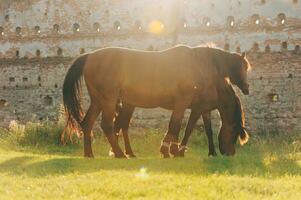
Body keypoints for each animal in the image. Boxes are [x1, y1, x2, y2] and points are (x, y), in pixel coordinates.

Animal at [62, 45, 248, 158]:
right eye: (234, 131)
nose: (230, 152)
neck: (197, 64)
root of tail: (89, 56)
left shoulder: (200, 108)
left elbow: (192, 128)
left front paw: (176, 150)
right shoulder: (187, 104)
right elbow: (179, 126)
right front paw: (171, 150)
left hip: (99, 101)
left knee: (88, 123)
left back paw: (90, 154)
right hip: (109, 100)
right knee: (107, 125)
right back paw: (120, 153)